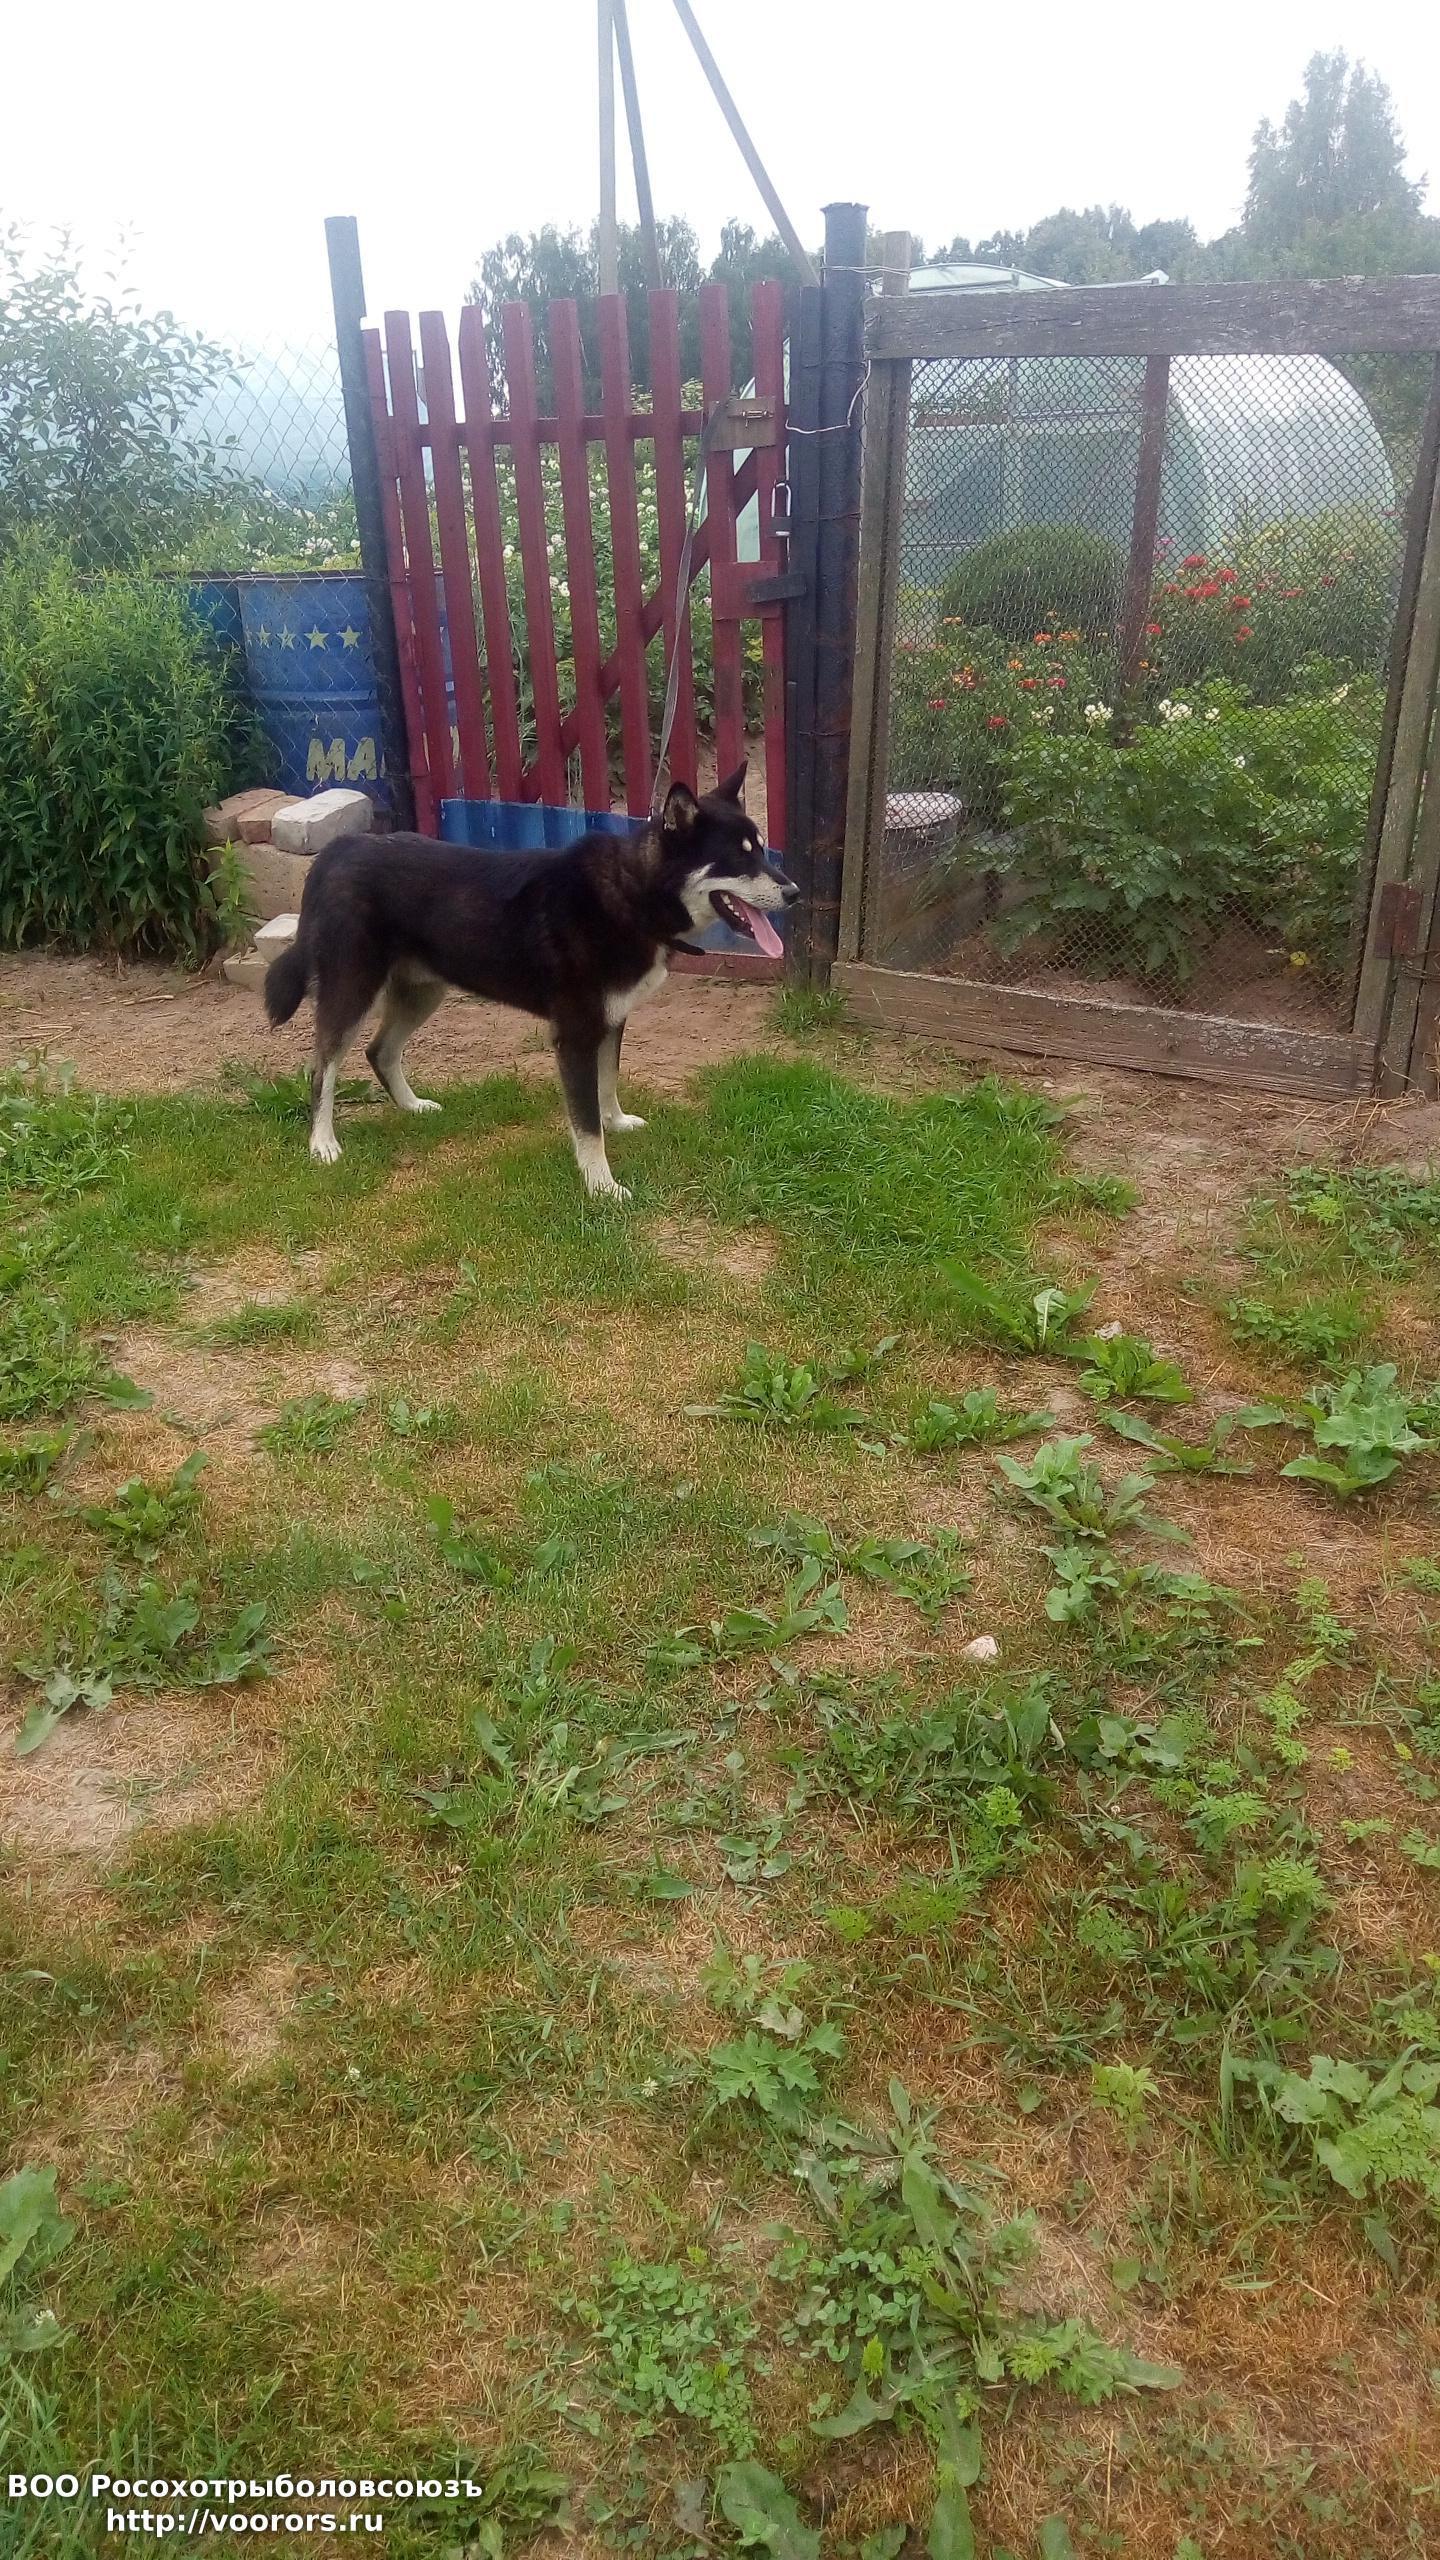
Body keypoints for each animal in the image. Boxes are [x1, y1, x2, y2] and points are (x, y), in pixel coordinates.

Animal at [262, 764, 799, 1199]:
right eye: (739, 858)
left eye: (762, 850)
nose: (794, 892)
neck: (632, 893)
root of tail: (338, 850)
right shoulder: (576, 1035)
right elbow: (585, 1124)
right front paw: (603, 1187)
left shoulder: (611, 1021)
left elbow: (607, 1084)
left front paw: (617, 1121)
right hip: (352, 988)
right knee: (322, 1068)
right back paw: (323, 1143)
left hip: (423, 990)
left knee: (380, 1051)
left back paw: (412, 1106)